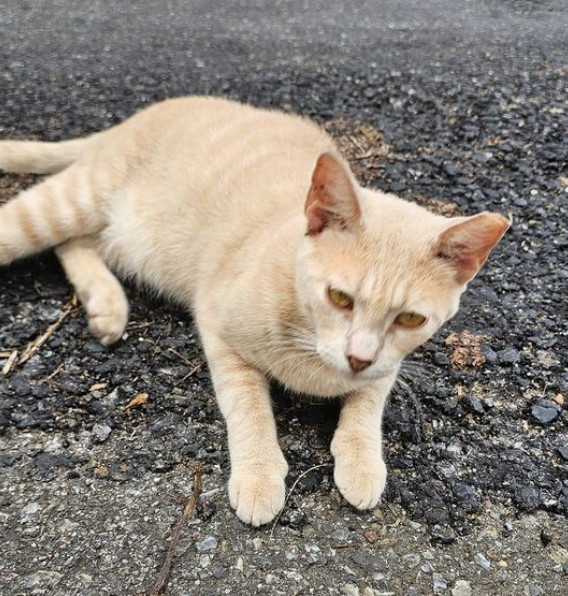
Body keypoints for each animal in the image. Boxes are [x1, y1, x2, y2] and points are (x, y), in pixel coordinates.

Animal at [0, 98, 508, 528]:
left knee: (75, 245)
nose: (358, 357)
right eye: (340, 297)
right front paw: (260, 473)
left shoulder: (388, 366)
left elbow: (368, 403)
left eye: (410, 320)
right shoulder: (217, 328)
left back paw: (106, 305)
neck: (309, 341)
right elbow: (248, 405)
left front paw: (362, 460)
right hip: (66, 206)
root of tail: (140, 116)